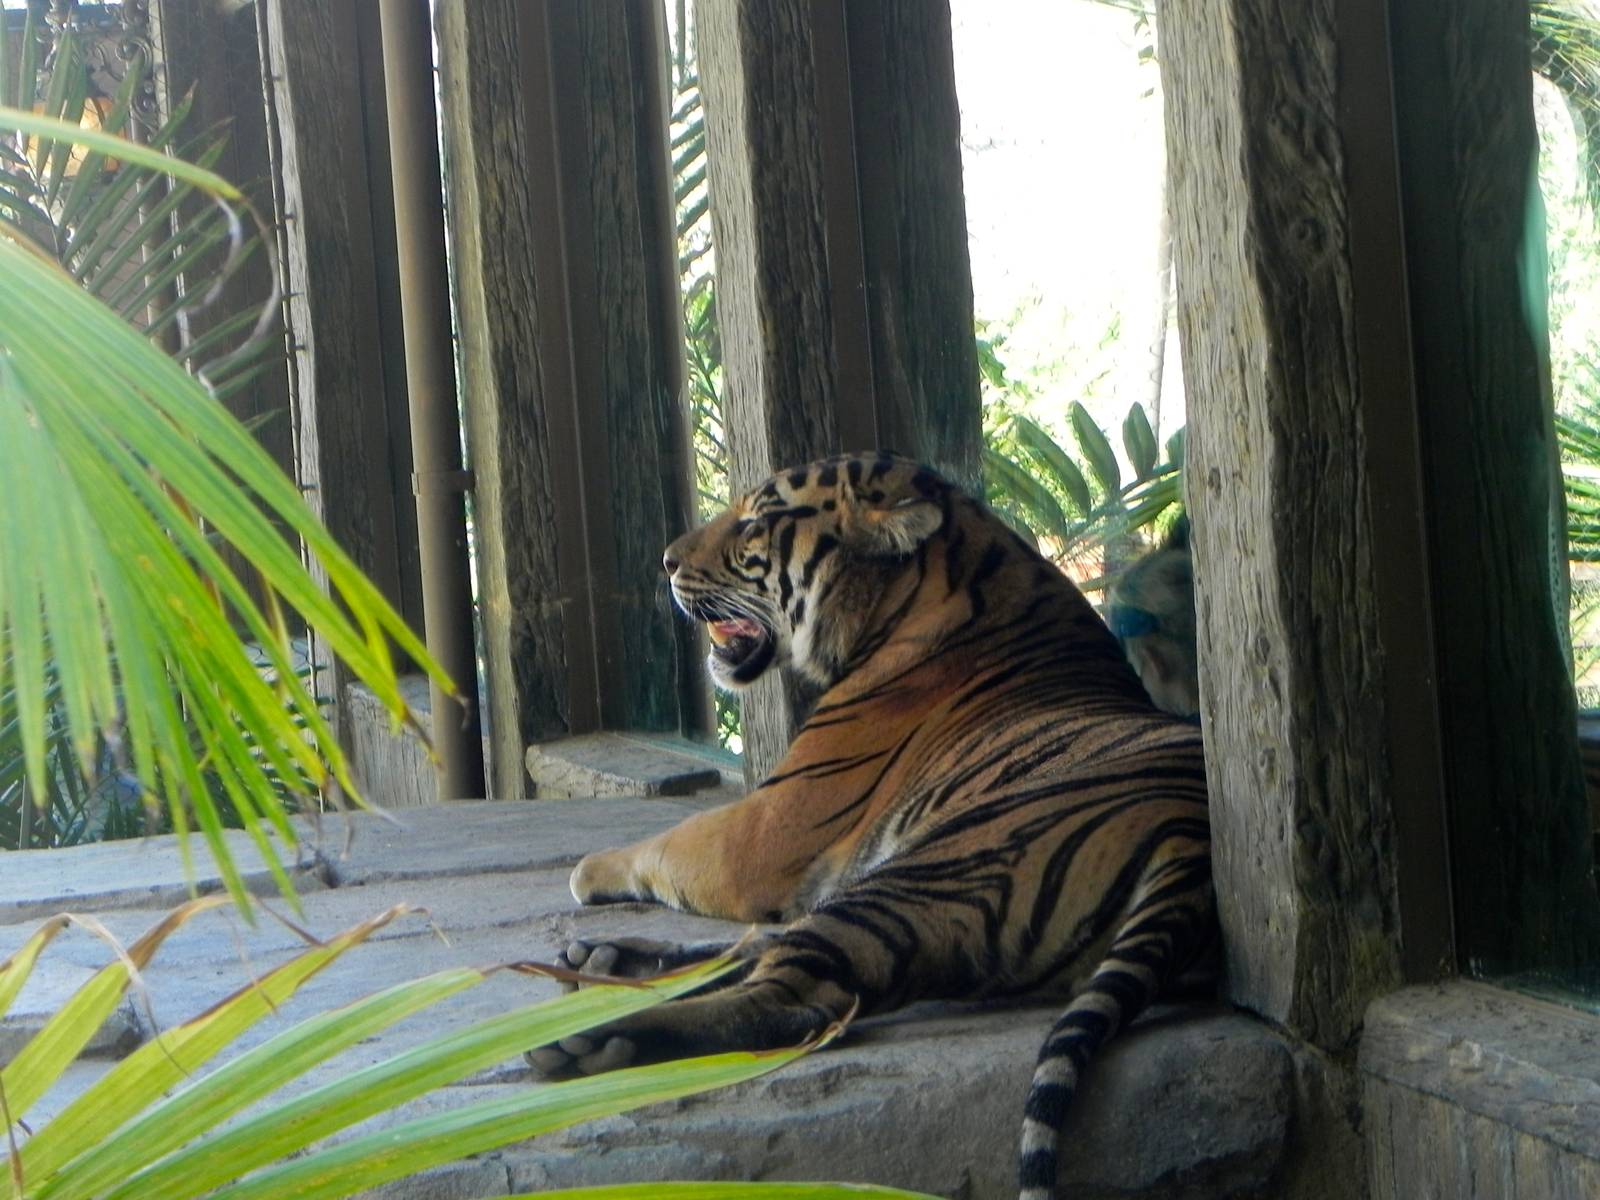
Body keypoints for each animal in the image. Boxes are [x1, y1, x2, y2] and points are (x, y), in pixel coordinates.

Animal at [526, 451, 1215, 1199]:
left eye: (755, 522)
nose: (666, 561)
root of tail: (1195, 843)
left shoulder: (762, 830)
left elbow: (669, 841)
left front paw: (587, 869)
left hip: (931, 870)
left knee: (791, 997)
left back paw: (596, 1033)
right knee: (760, 957)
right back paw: (602, 963)